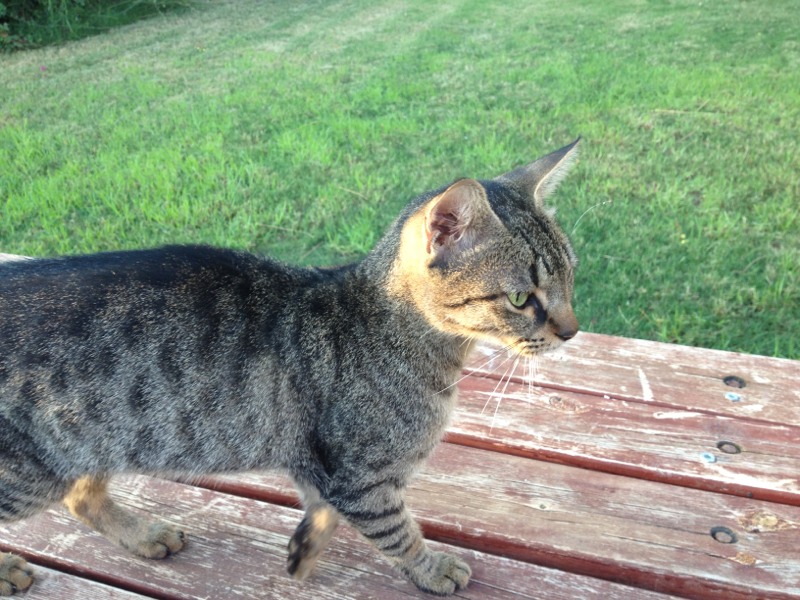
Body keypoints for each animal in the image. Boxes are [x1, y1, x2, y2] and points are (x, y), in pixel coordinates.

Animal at [0, 139, 580, 596]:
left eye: (571, 276)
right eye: (522, 298)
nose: (572, 330)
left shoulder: (317, 460)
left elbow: (319, 509)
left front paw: (305, 549)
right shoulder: (359, 477)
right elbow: (397, 531)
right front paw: (430, 567)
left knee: (81, 496)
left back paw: (143, 535)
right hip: (29, 473)